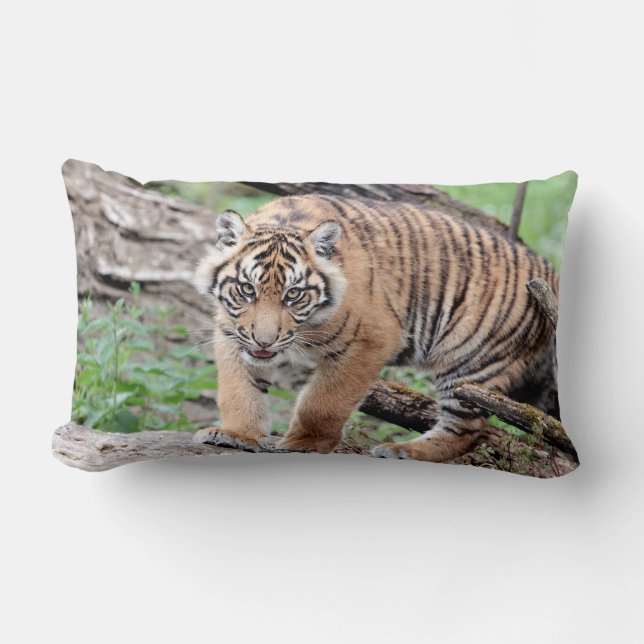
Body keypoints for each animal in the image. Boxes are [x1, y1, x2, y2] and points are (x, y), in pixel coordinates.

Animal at [193, 194, 559, 462]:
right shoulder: (232, 334)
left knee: (469, 430)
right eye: (247, 289)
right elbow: (238, 389)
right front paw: (236, 434)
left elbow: (323, 401)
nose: (264, 341)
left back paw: (404, 450)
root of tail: (551, 273)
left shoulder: (370, 340)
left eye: (293, 295)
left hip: (470, 364)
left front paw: (304, 442)